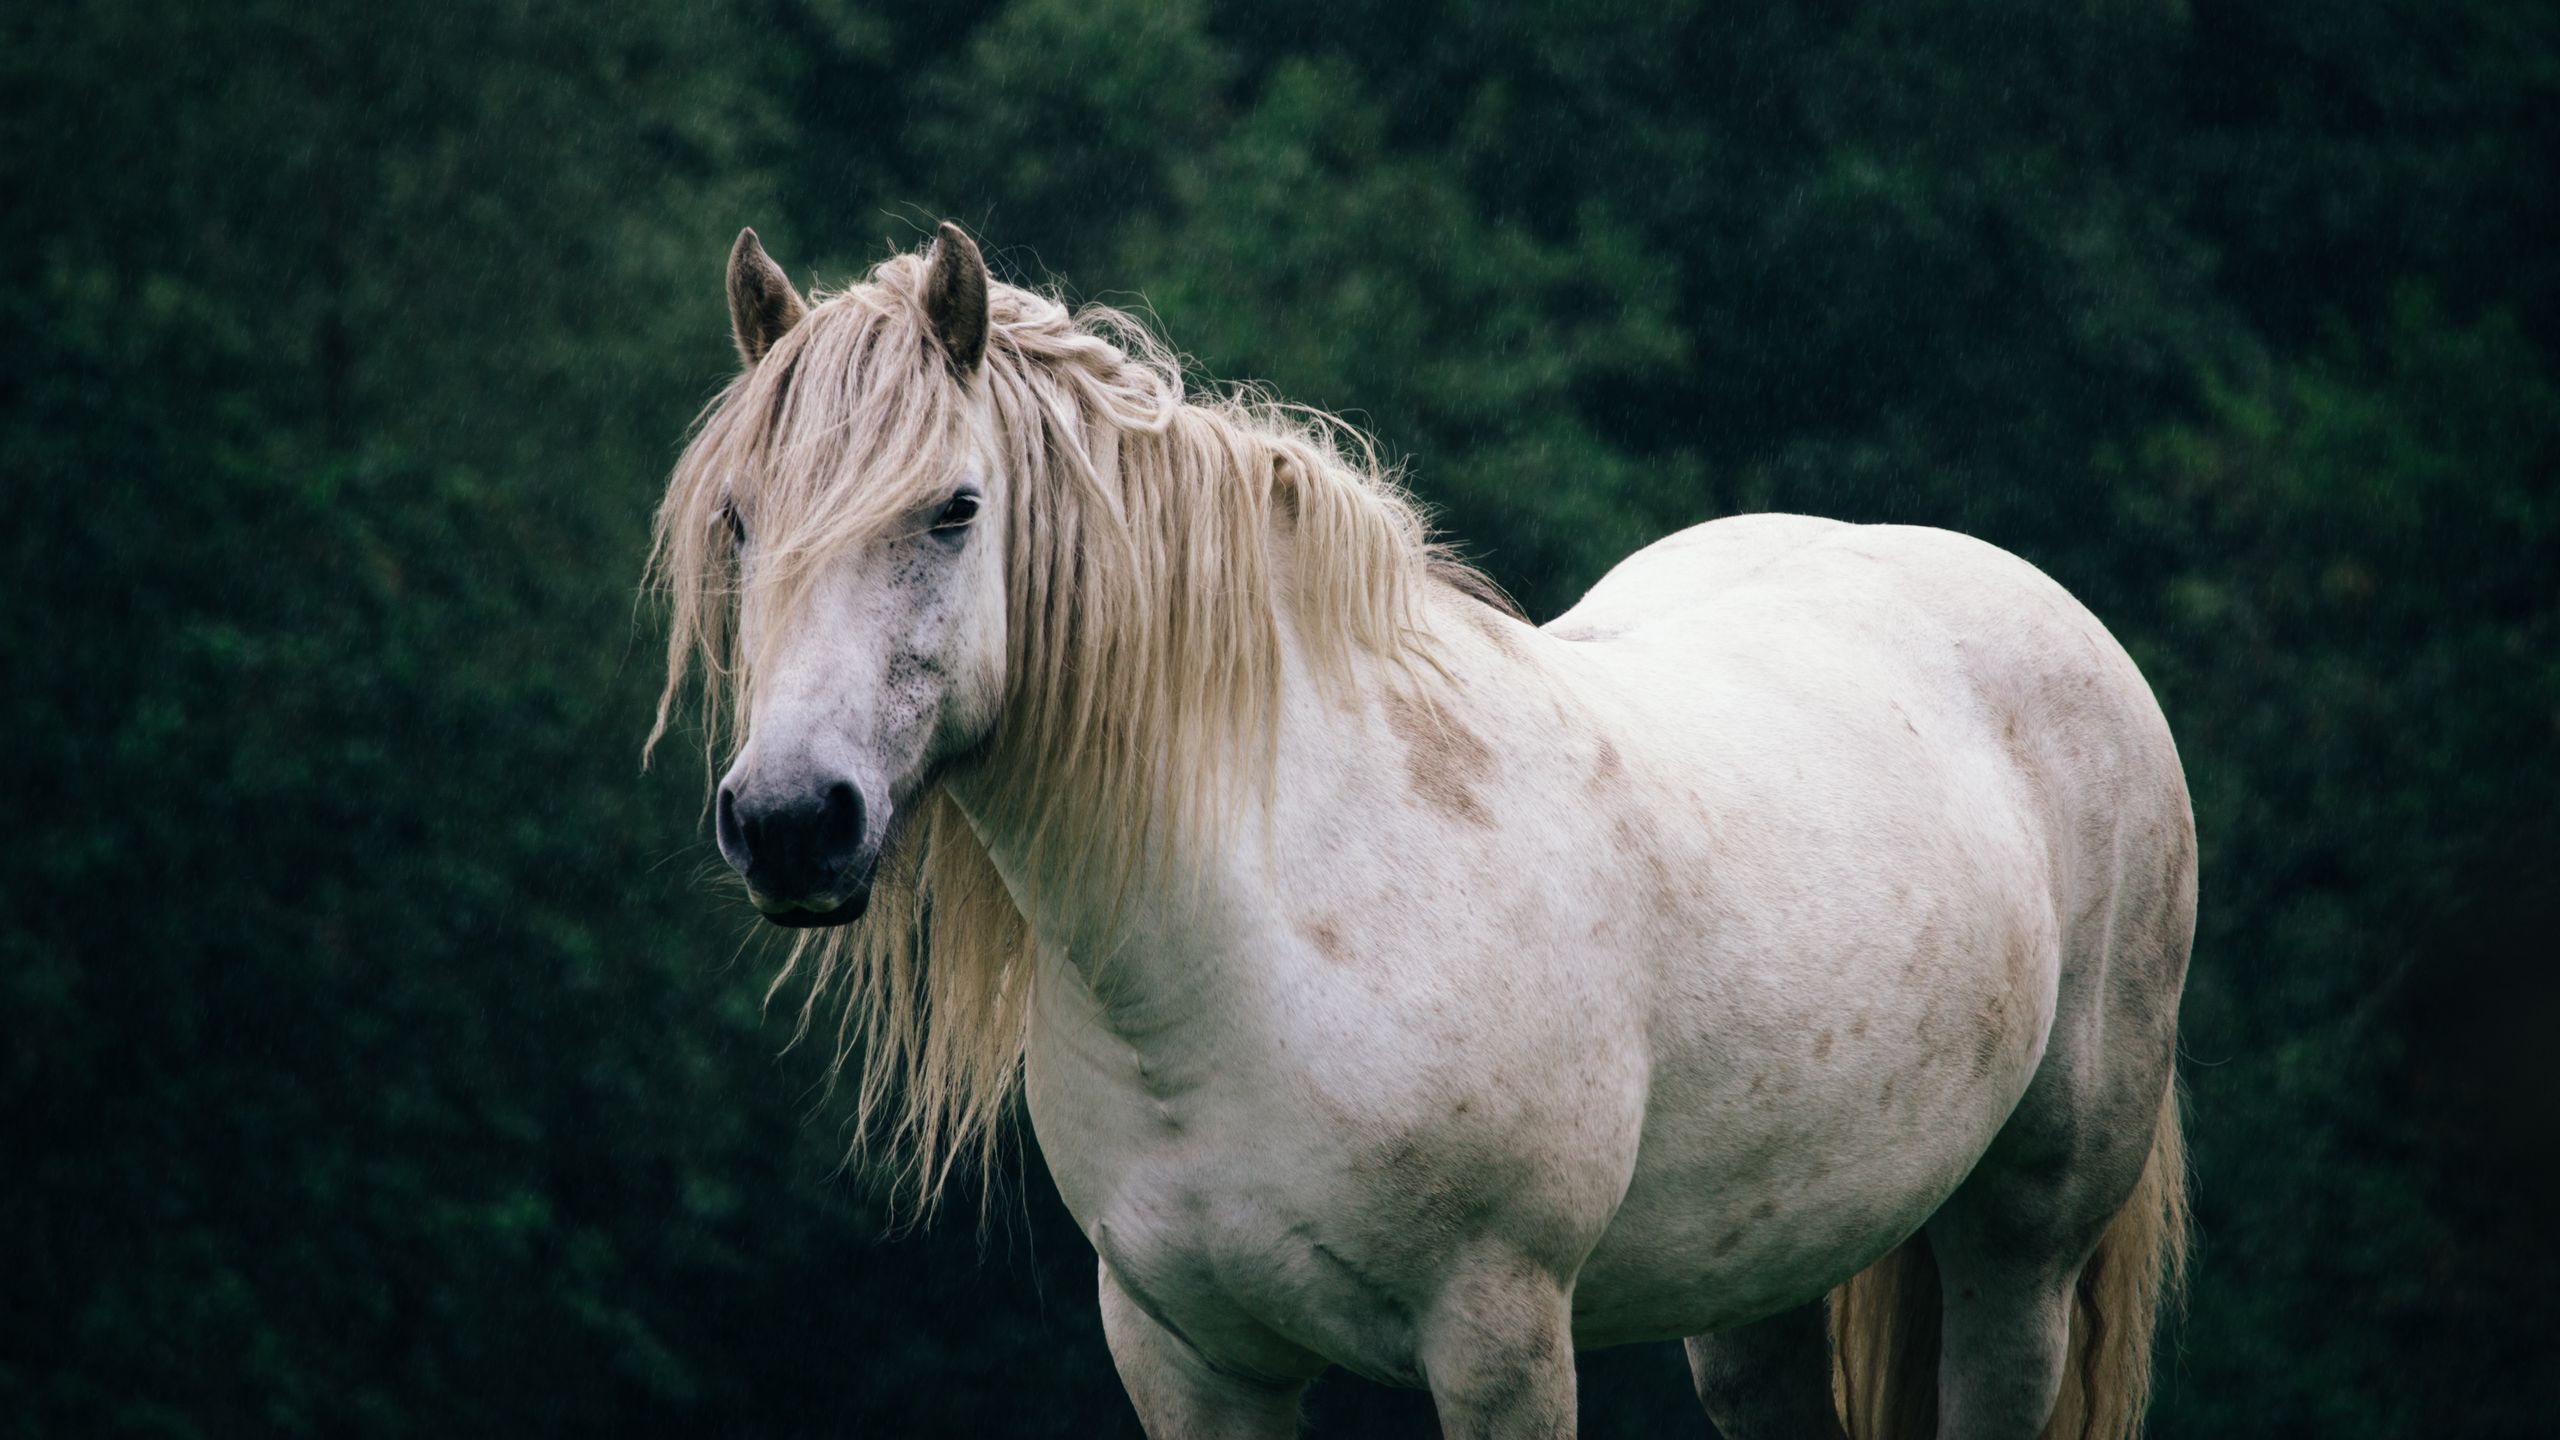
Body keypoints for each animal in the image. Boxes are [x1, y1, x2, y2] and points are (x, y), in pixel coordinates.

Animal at [646, 222, 2193, 1440]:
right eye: (739, 523)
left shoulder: (1498, 1341)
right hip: (1758, 1278)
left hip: (2022, 1248)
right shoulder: (1189, 1358)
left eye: (955, 510)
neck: (1259, 937)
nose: (791, 823)